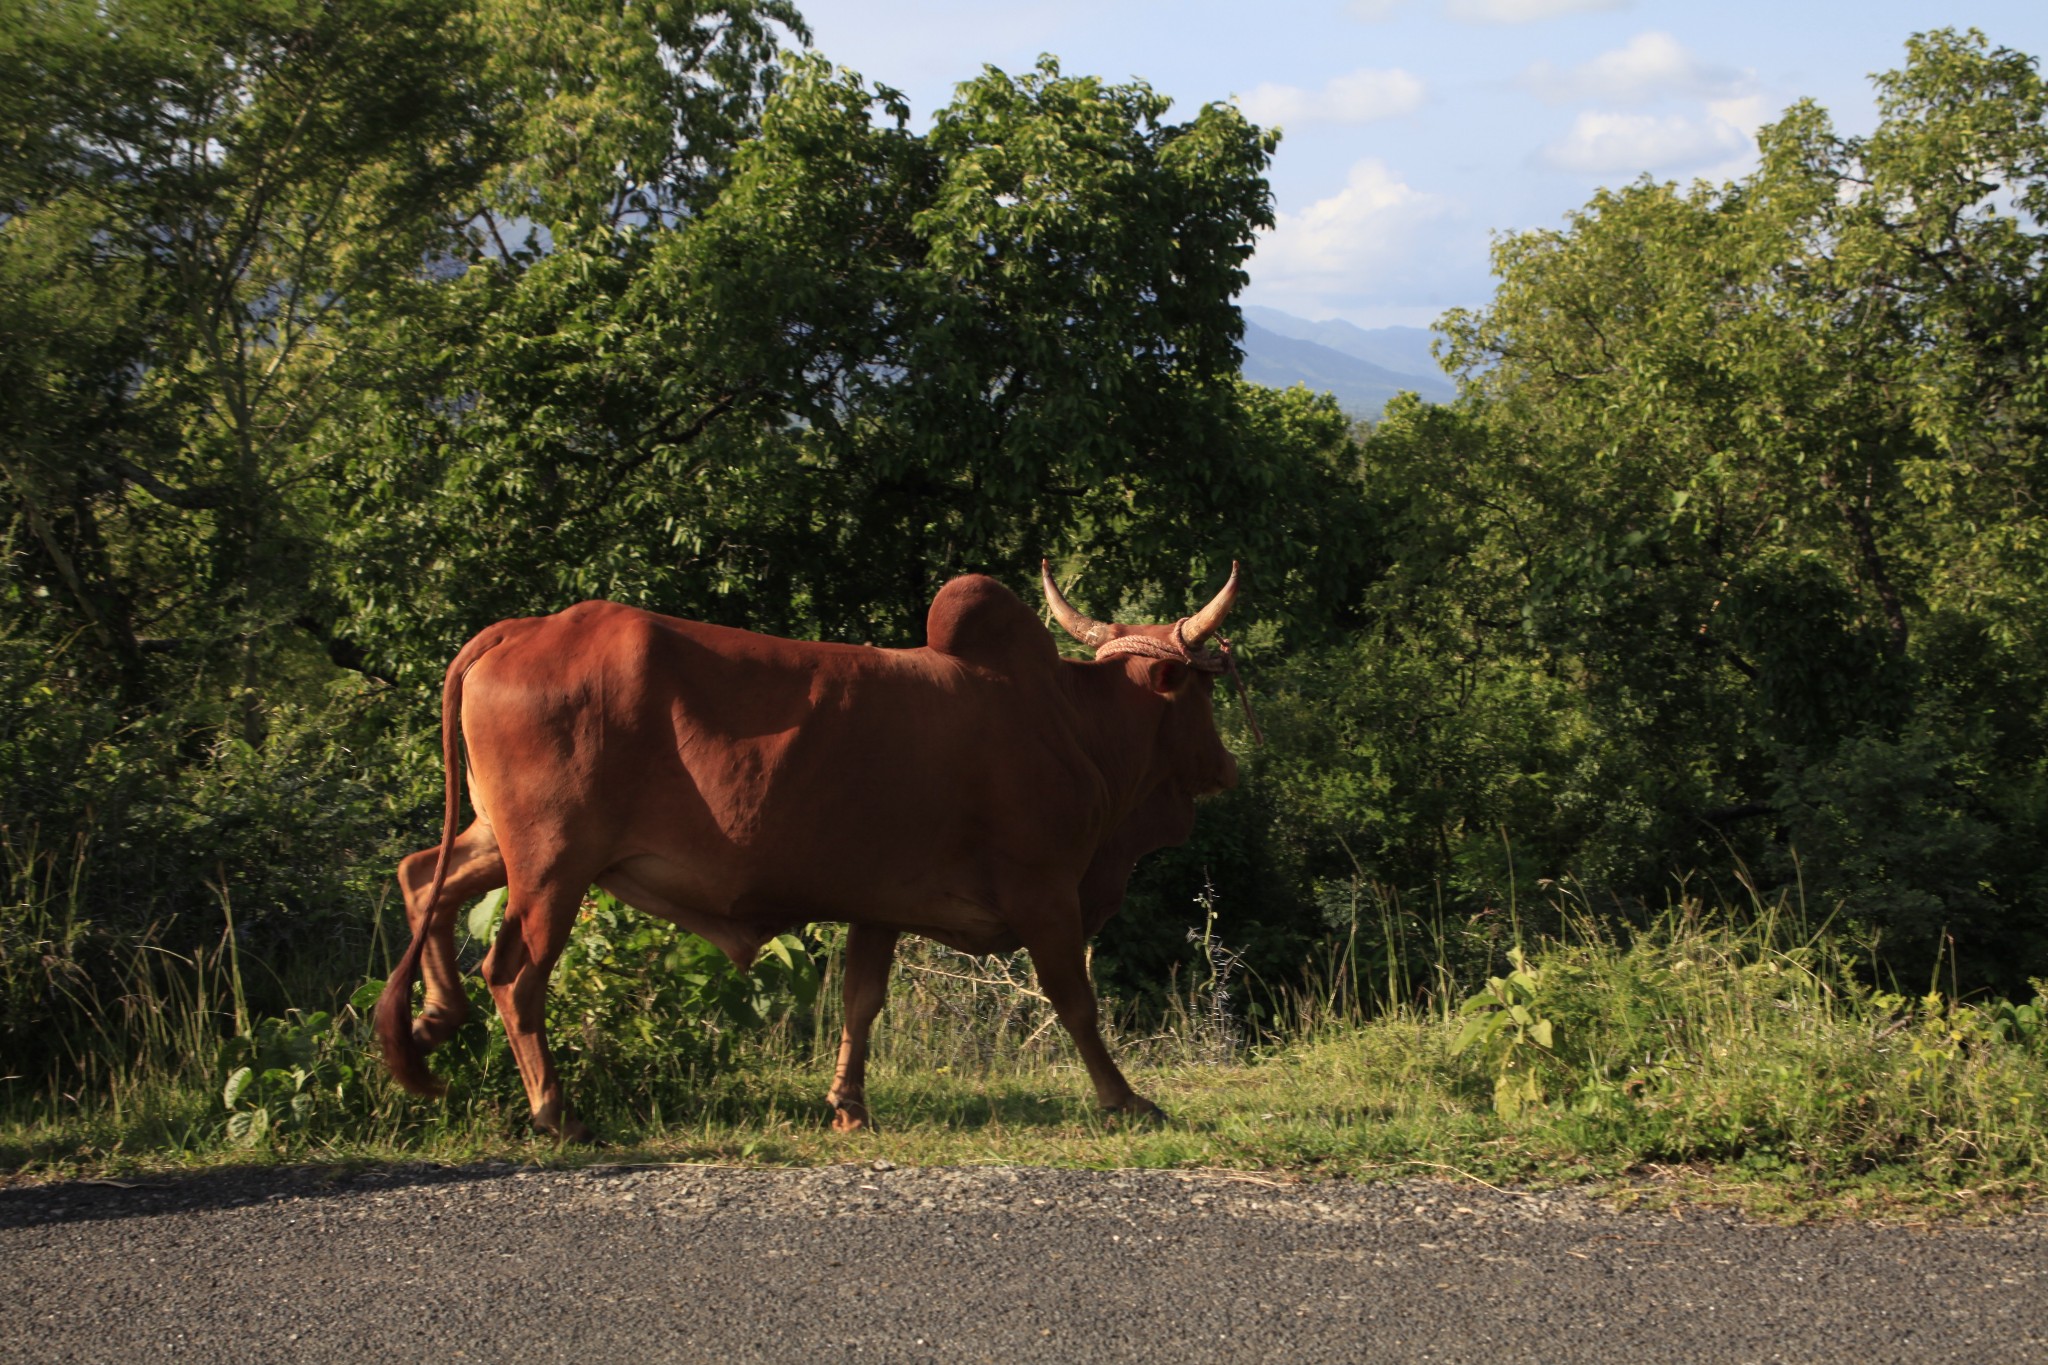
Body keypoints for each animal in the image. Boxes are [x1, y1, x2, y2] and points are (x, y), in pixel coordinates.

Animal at [378, 560, 1245, 1137]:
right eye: (1206, 687)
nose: (1226, 766)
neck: (1071, 720)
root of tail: (521, 629)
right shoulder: (1047, 894)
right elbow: (1077, 1003)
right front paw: (1125, 1098)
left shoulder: (881, 905)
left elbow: (861, 1002)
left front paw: (848, 1105)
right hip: (554, 863)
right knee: (514, 974)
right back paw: (555, 1110)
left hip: (506, 842)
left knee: (423, 877)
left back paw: (430, 1021)